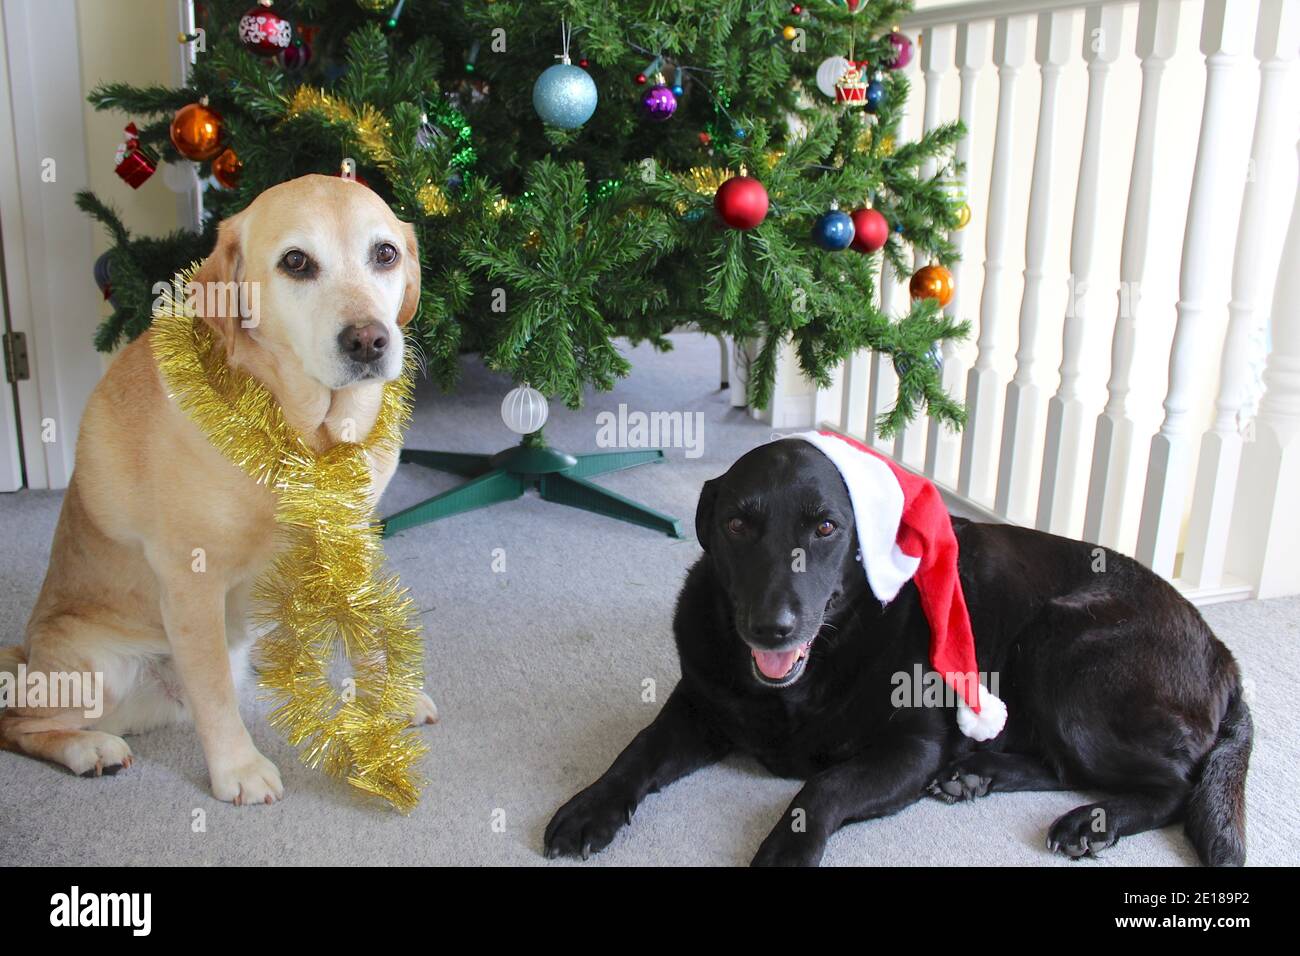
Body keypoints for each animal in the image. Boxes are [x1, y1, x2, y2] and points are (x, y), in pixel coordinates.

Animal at [0, 175, 436, 806]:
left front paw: (385, 702)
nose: (369, 341)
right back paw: (89, 750)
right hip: (96, 670)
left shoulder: (350, 537)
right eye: (296, 262)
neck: (305, 433)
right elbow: (212, 694)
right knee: (19, 723)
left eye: (385, 253)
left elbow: (368, 637)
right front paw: (239, 768)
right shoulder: (192, 583)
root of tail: (27, 652)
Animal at [540, 439, 1248, 868]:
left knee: (1171, 787)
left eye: (827, 527)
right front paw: (590, 807)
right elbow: (636, 750)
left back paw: (1089, 821)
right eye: (737, 524)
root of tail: (1221, 649)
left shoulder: (911, 746)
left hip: (1061, 645)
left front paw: (786, 849)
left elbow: (823, 786)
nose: (772, 628)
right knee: (1062, 763)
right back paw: (978, 775)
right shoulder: (697, 707)